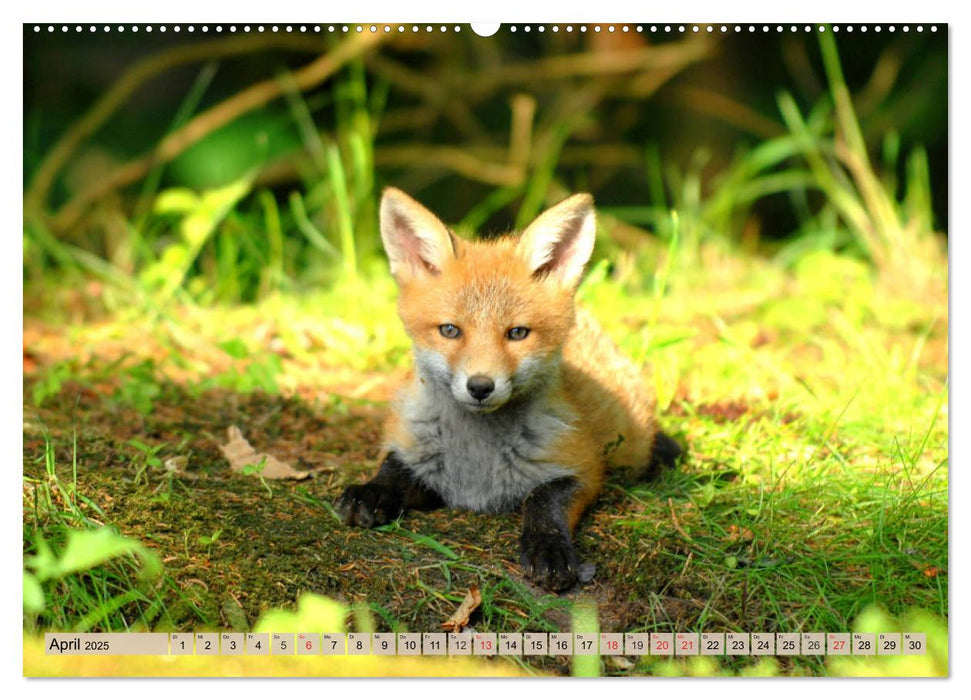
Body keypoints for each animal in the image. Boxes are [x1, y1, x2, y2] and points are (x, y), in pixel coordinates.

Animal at [340, 190, 684, 592]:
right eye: (450, 330)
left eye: (517, 333)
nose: (480, 386)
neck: (476, 465)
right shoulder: (416, 452)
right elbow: (393, 468)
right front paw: (371, 491)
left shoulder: (583, 466)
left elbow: (542, 498)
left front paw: (548, 546)